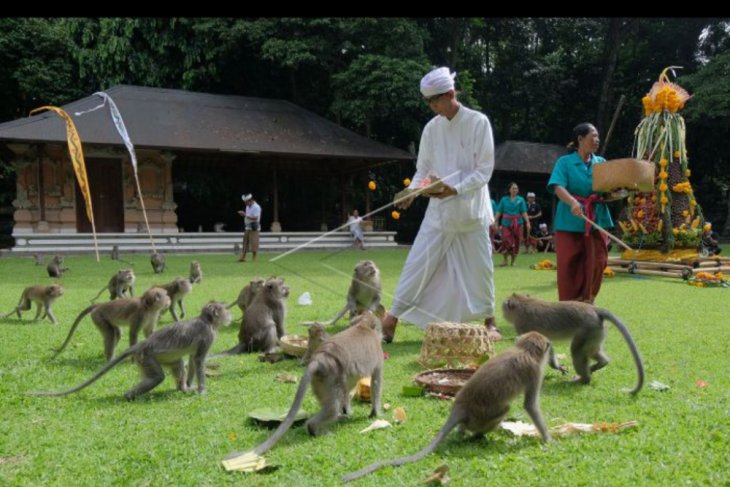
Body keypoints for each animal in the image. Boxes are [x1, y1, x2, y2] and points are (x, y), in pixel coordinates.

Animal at [29, 302, 230, 400]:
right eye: (224, 310)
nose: (230, 315)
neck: (207, 321)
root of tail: (142, 344)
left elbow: (193, 358)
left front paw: (188, 386)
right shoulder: (208, 336)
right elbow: (199, 359)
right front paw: (202, 390)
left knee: (177, 363)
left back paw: (181, 388)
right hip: (146, 357)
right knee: (157, 377)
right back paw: (128, 396)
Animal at [223, 312, 384, 462]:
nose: (382, 336)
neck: (363, 326)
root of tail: (320, 359)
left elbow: (350, 389)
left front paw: (349, 411)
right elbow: (376, 382)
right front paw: (375, 413)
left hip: (321, 382)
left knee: (334, 400)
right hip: (331, 378)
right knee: (333, 407)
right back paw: (314, 428)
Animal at [344, 332, 548, 484]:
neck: (524, 350)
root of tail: (460, 408)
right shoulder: (535, 371)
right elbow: (530, 405)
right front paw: (548, 439)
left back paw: (462, 431)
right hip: (482, 416)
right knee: (504, 409)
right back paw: (476, 435)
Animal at [500, 294, 644, 396]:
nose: (502, 312)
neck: (524, 303)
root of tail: (595, 310)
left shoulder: (522, 326)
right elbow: (548, 344)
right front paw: (558, 367)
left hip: (587, 329)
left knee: (577, 351)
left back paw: (584, 379)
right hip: (596, 331)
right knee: (591, 351)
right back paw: (601, 363)